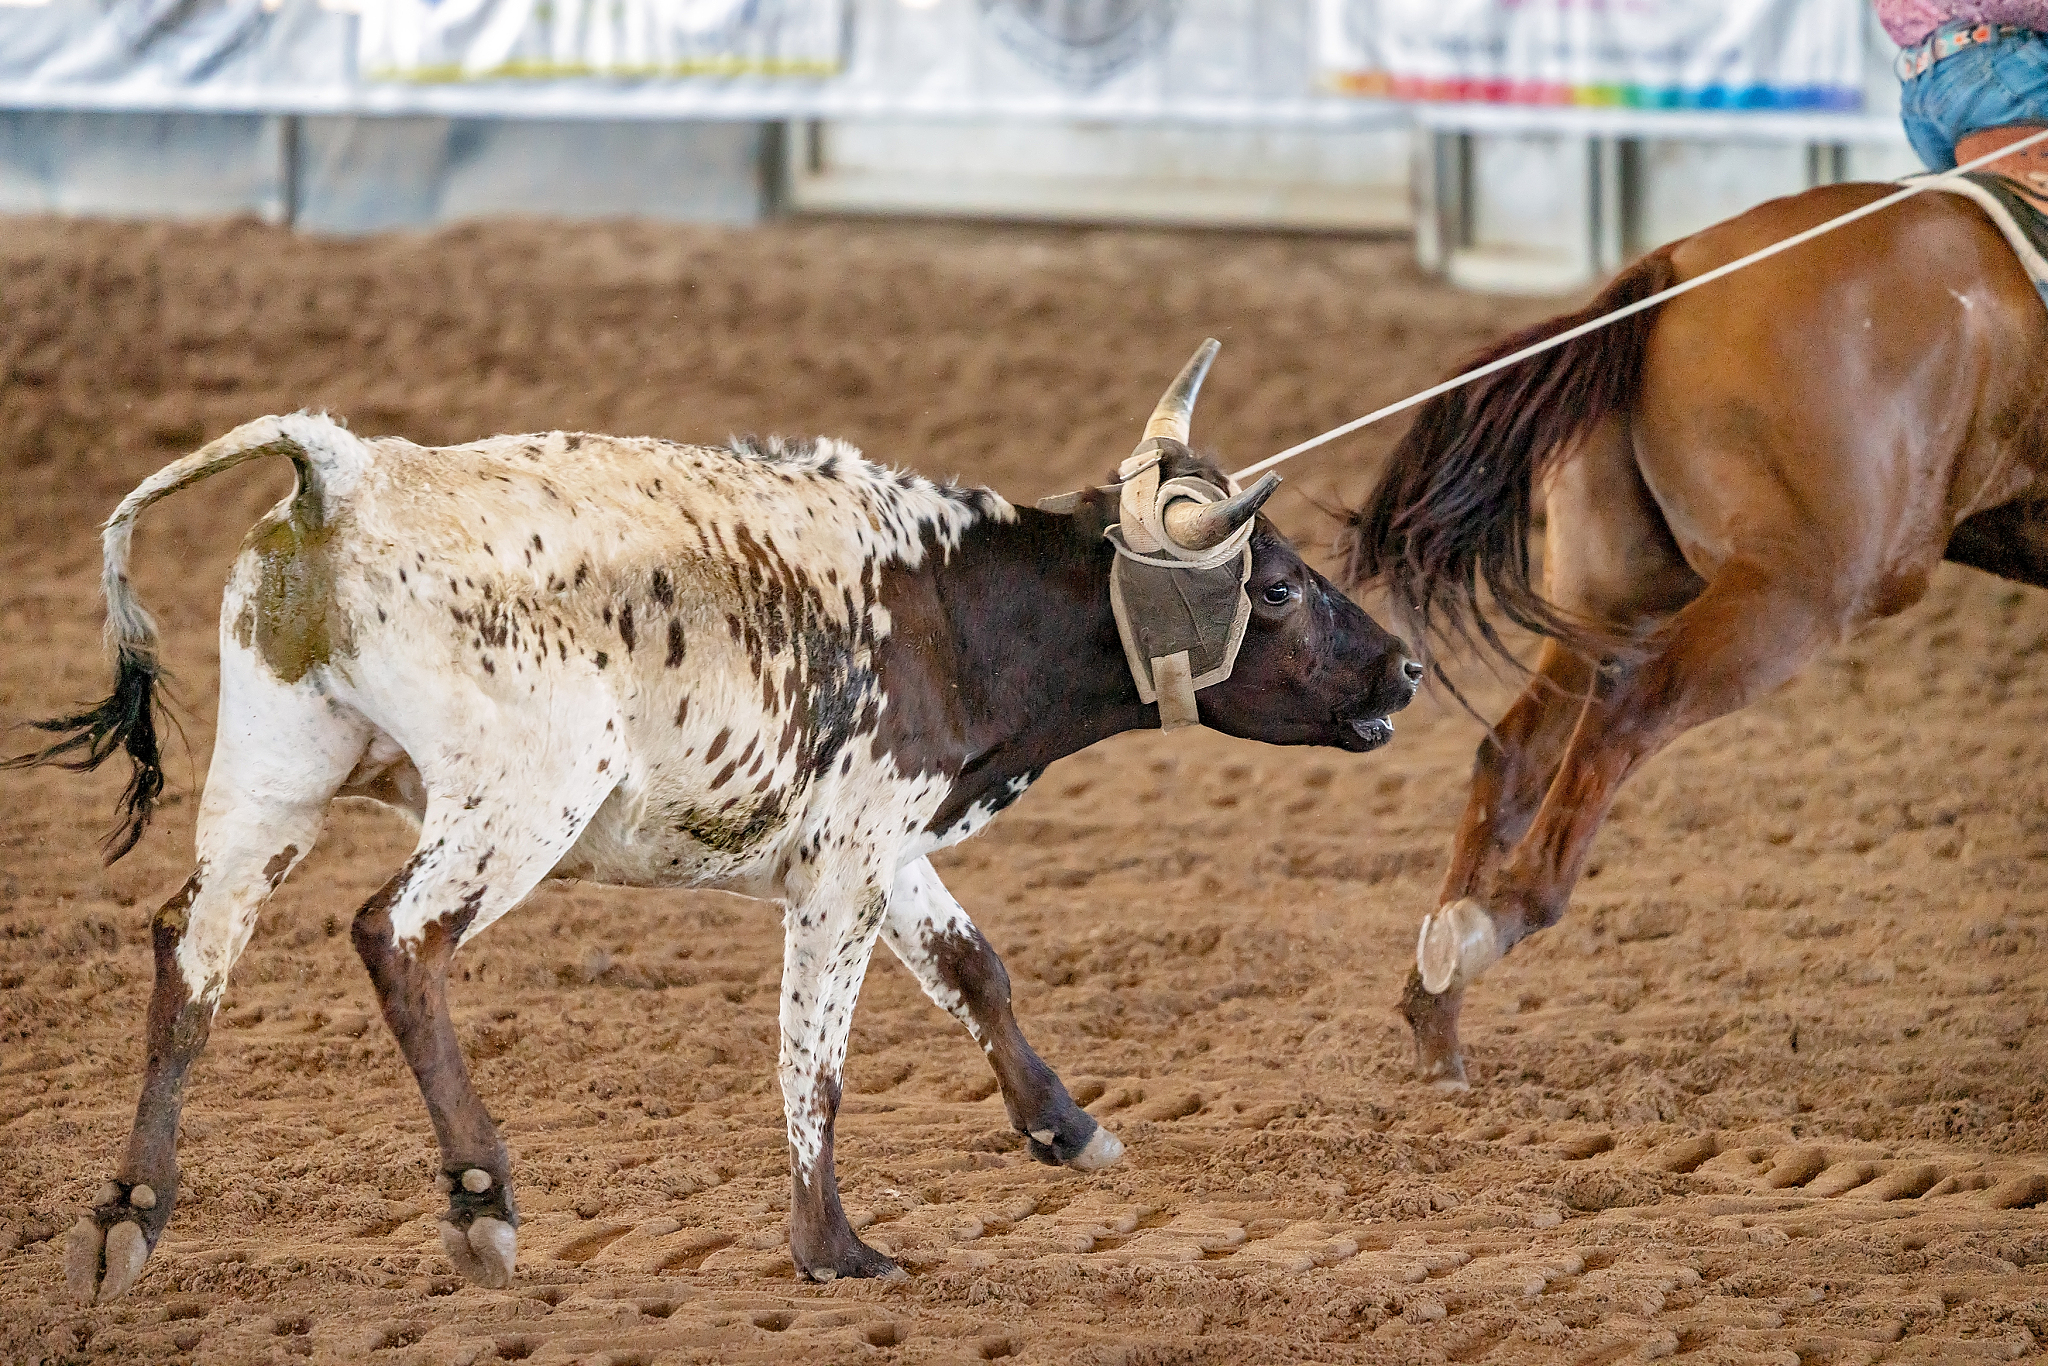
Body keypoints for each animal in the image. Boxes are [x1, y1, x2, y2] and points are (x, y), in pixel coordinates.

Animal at [11, 344, 1420, 1303]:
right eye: (1277, 588)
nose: (1403, 670)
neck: (948, 608)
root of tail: (346, 471)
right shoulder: (844, 871)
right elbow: (815, 1061)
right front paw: (832, 1246)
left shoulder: (877, 843)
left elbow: (973, 968)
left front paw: (1065, 1128)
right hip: (518, 800)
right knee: (396, 937)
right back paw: (479, 1193)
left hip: (273, 780)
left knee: (191, 948)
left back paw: (131, 1212)